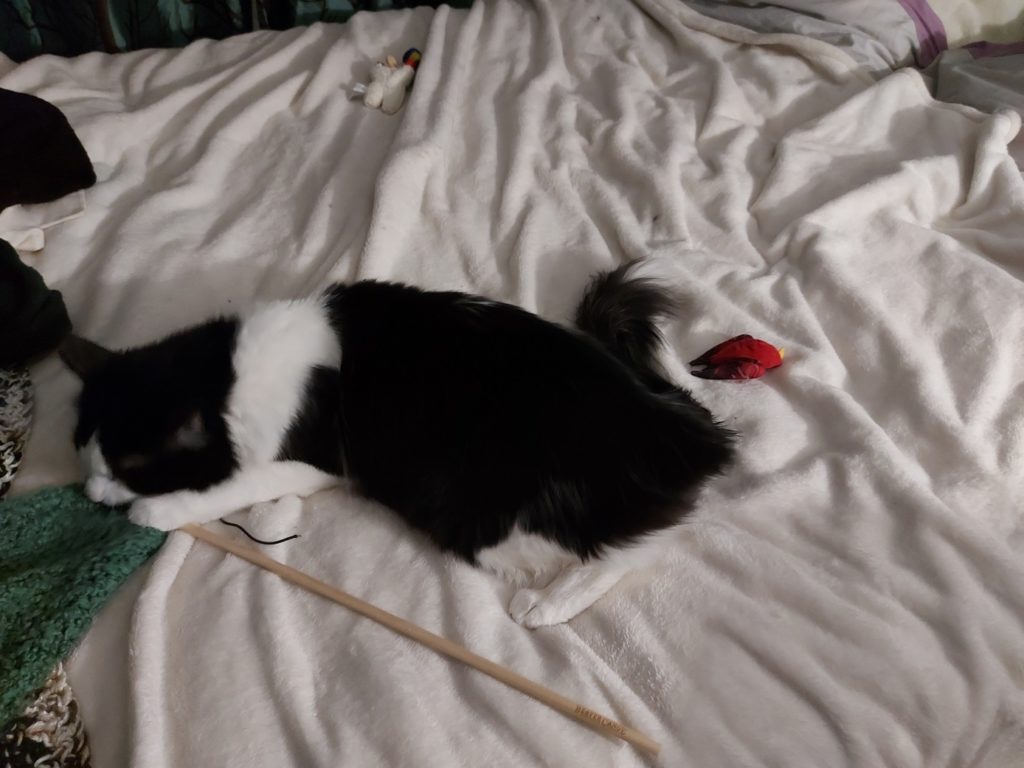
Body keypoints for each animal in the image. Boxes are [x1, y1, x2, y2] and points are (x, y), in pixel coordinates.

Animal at [61, 264, 737, 626]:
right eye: (82, 455)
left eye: (128, 470)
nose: (88, 492)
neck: (222, 372)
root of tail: (687, 425)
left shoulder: (319, 461)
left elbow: (235, 484)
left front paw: (153, 511)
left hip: (483, 515)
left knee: (630, 550)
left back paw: (545, 606)